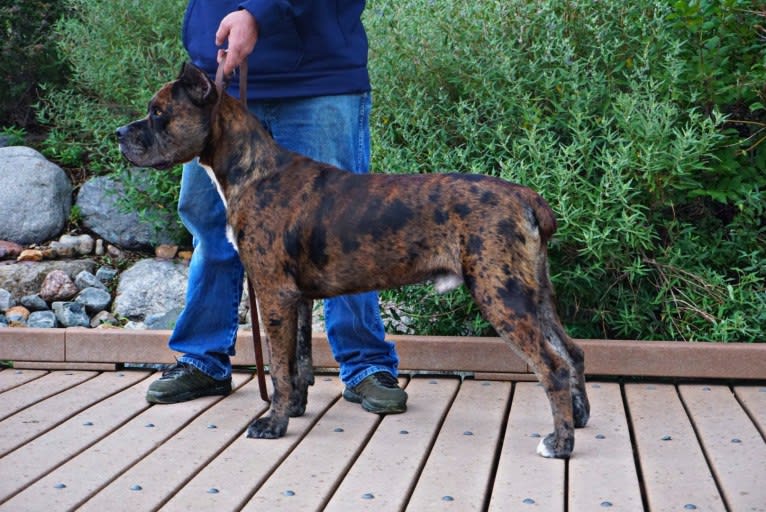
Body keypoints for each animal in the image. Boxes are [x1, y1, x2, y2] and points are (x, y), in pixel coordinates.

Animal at [117, 62, 592, 458]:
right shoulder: (297, 299)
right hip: (533, 293)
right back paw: (579, 418)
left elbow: (279, 367)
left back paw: (560, 443)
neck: (255, 171)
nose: (120, 133)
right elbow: (300, 361)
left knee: (552, 366)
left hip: (501, 295)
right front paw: (295, 409)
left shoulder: (273, 294)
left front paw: (273, 422)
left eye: (158, 113)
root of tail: (526, 197)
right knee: (571, 352)